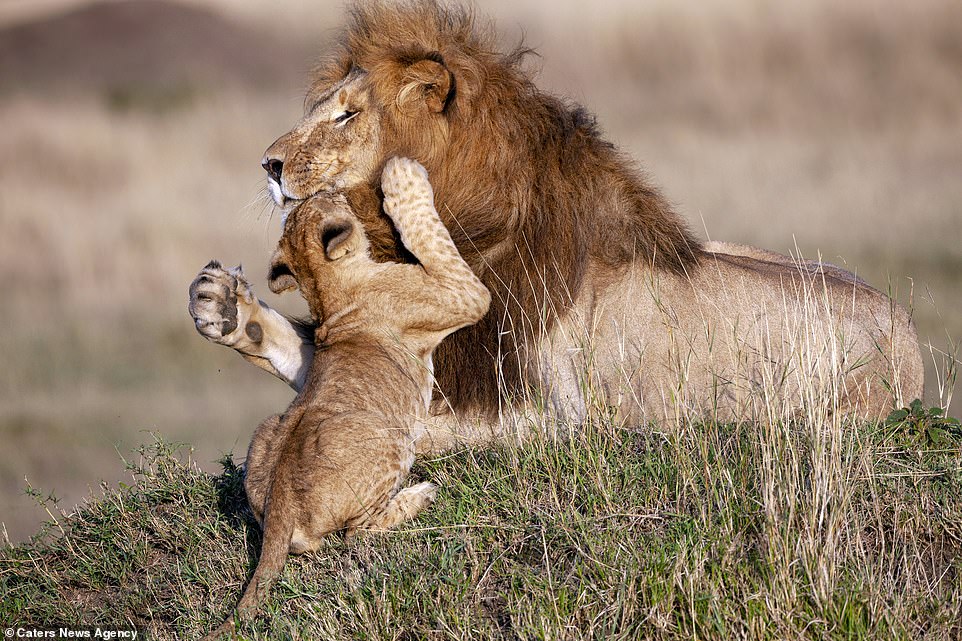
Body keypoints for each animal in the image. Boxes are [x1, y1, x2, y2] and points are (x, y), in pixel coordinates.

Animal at [189, 0, 924, 450]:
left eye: (346, 114)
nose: (267, 164)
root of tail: (911, 336)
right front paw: (229, 311)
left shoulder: (561, 416)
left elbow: (432, 429)